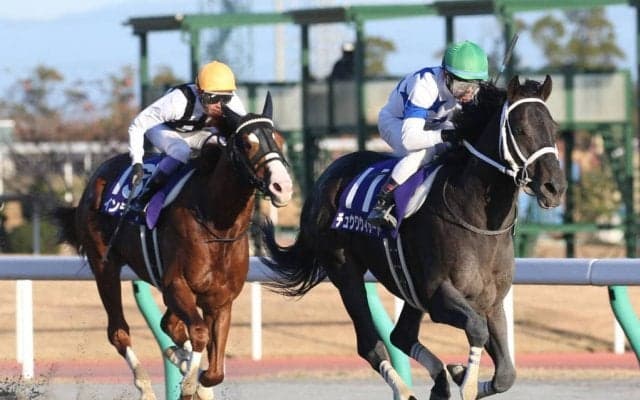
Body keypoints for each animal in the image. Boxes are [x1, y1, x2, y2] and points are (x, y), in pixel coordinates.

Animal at [55, 93, 293, 400]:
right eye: (246, 143)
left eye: (279, 139)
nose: (282, 187)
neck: (217, 224)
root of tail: (95, 179)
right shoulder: (176, 284)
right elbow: (200, 333)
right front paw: (190, 383)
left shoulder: (221, 298)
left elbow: (215, 369)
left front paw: (197, 378)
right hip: (104, 266)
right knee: (119, 331)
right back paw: (146, 385)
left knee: (169, 324)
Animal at [259, 76, 566, 400]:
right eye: (519, 129)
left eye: (553, 127)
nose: (554, 187)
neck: (478, 221)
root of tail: (325, 178)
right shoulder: (438, 294)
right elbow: (477, 329)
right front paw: (465, 379)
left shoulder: (491, 301)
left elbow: (506, 373)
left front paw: (460, 373)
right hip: (345, 271)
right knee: (371, 343)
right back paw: (404, 389)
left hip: (407, 284)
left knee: (401, 334)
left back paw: (440, 381)